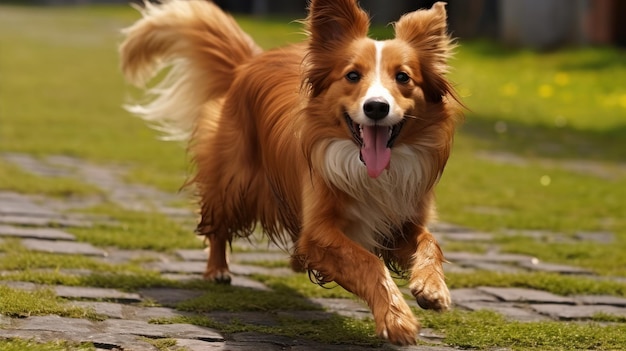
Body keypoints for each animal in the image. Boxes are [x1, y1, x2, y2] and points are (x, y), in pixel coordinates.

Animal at [120, 0, 458, 346]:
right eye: (352, 75)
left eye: (403, 77)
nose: (376, 107)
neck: (367, 170)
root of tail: (248, 62)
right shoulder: (320, 230)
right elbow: (369, 261)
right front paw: (397, 318)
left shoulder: (402, 220)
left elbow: (431, 242)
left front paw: (432, 287)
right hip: (233, 182)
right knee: (217, 225)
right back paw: (217, 270)